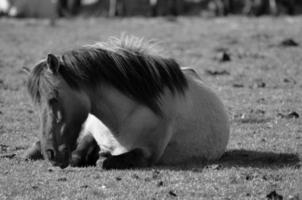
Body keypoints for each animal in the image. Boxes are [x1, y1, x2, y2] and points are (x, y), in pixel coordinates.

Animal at [24, 35, 230, 169]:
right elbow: (77, 156)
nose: (50, 154)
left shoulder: (147, 154)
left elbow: (103, 162)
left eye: (53, 98)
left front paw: (101, 157)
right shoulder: (90, 134)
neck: (120, 120)